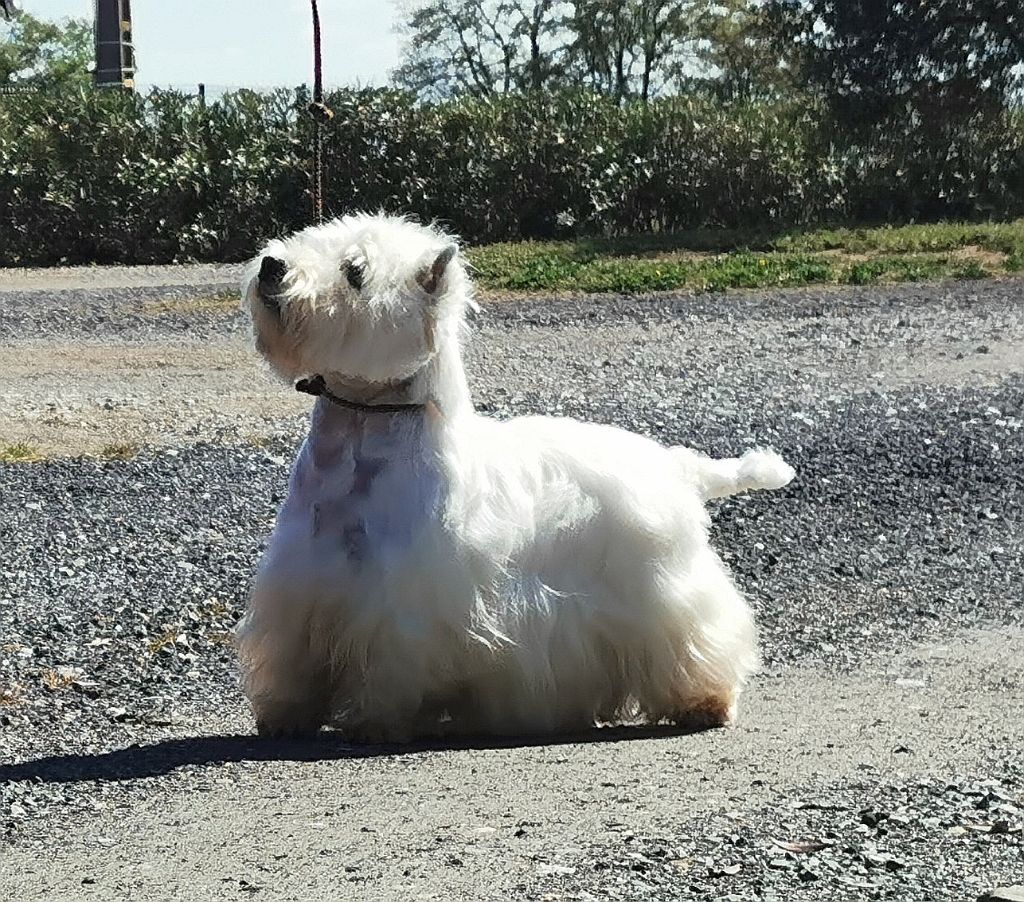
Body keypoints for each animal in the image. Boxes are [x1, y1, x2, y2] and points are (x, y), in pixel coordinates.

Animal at [235, 212, 794, 737]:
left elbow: (389, 666)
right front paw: (283, 718)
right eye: (312, 236)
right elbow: (292, 661)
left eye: (356, 272)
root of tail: (675, 464)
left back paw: (706, 703)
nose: (271, 266)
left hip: (664, 589)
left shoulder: (401, 603)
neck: (361, 434)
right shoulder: (298, 587)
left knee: (699, 637)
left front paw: (375, 722)